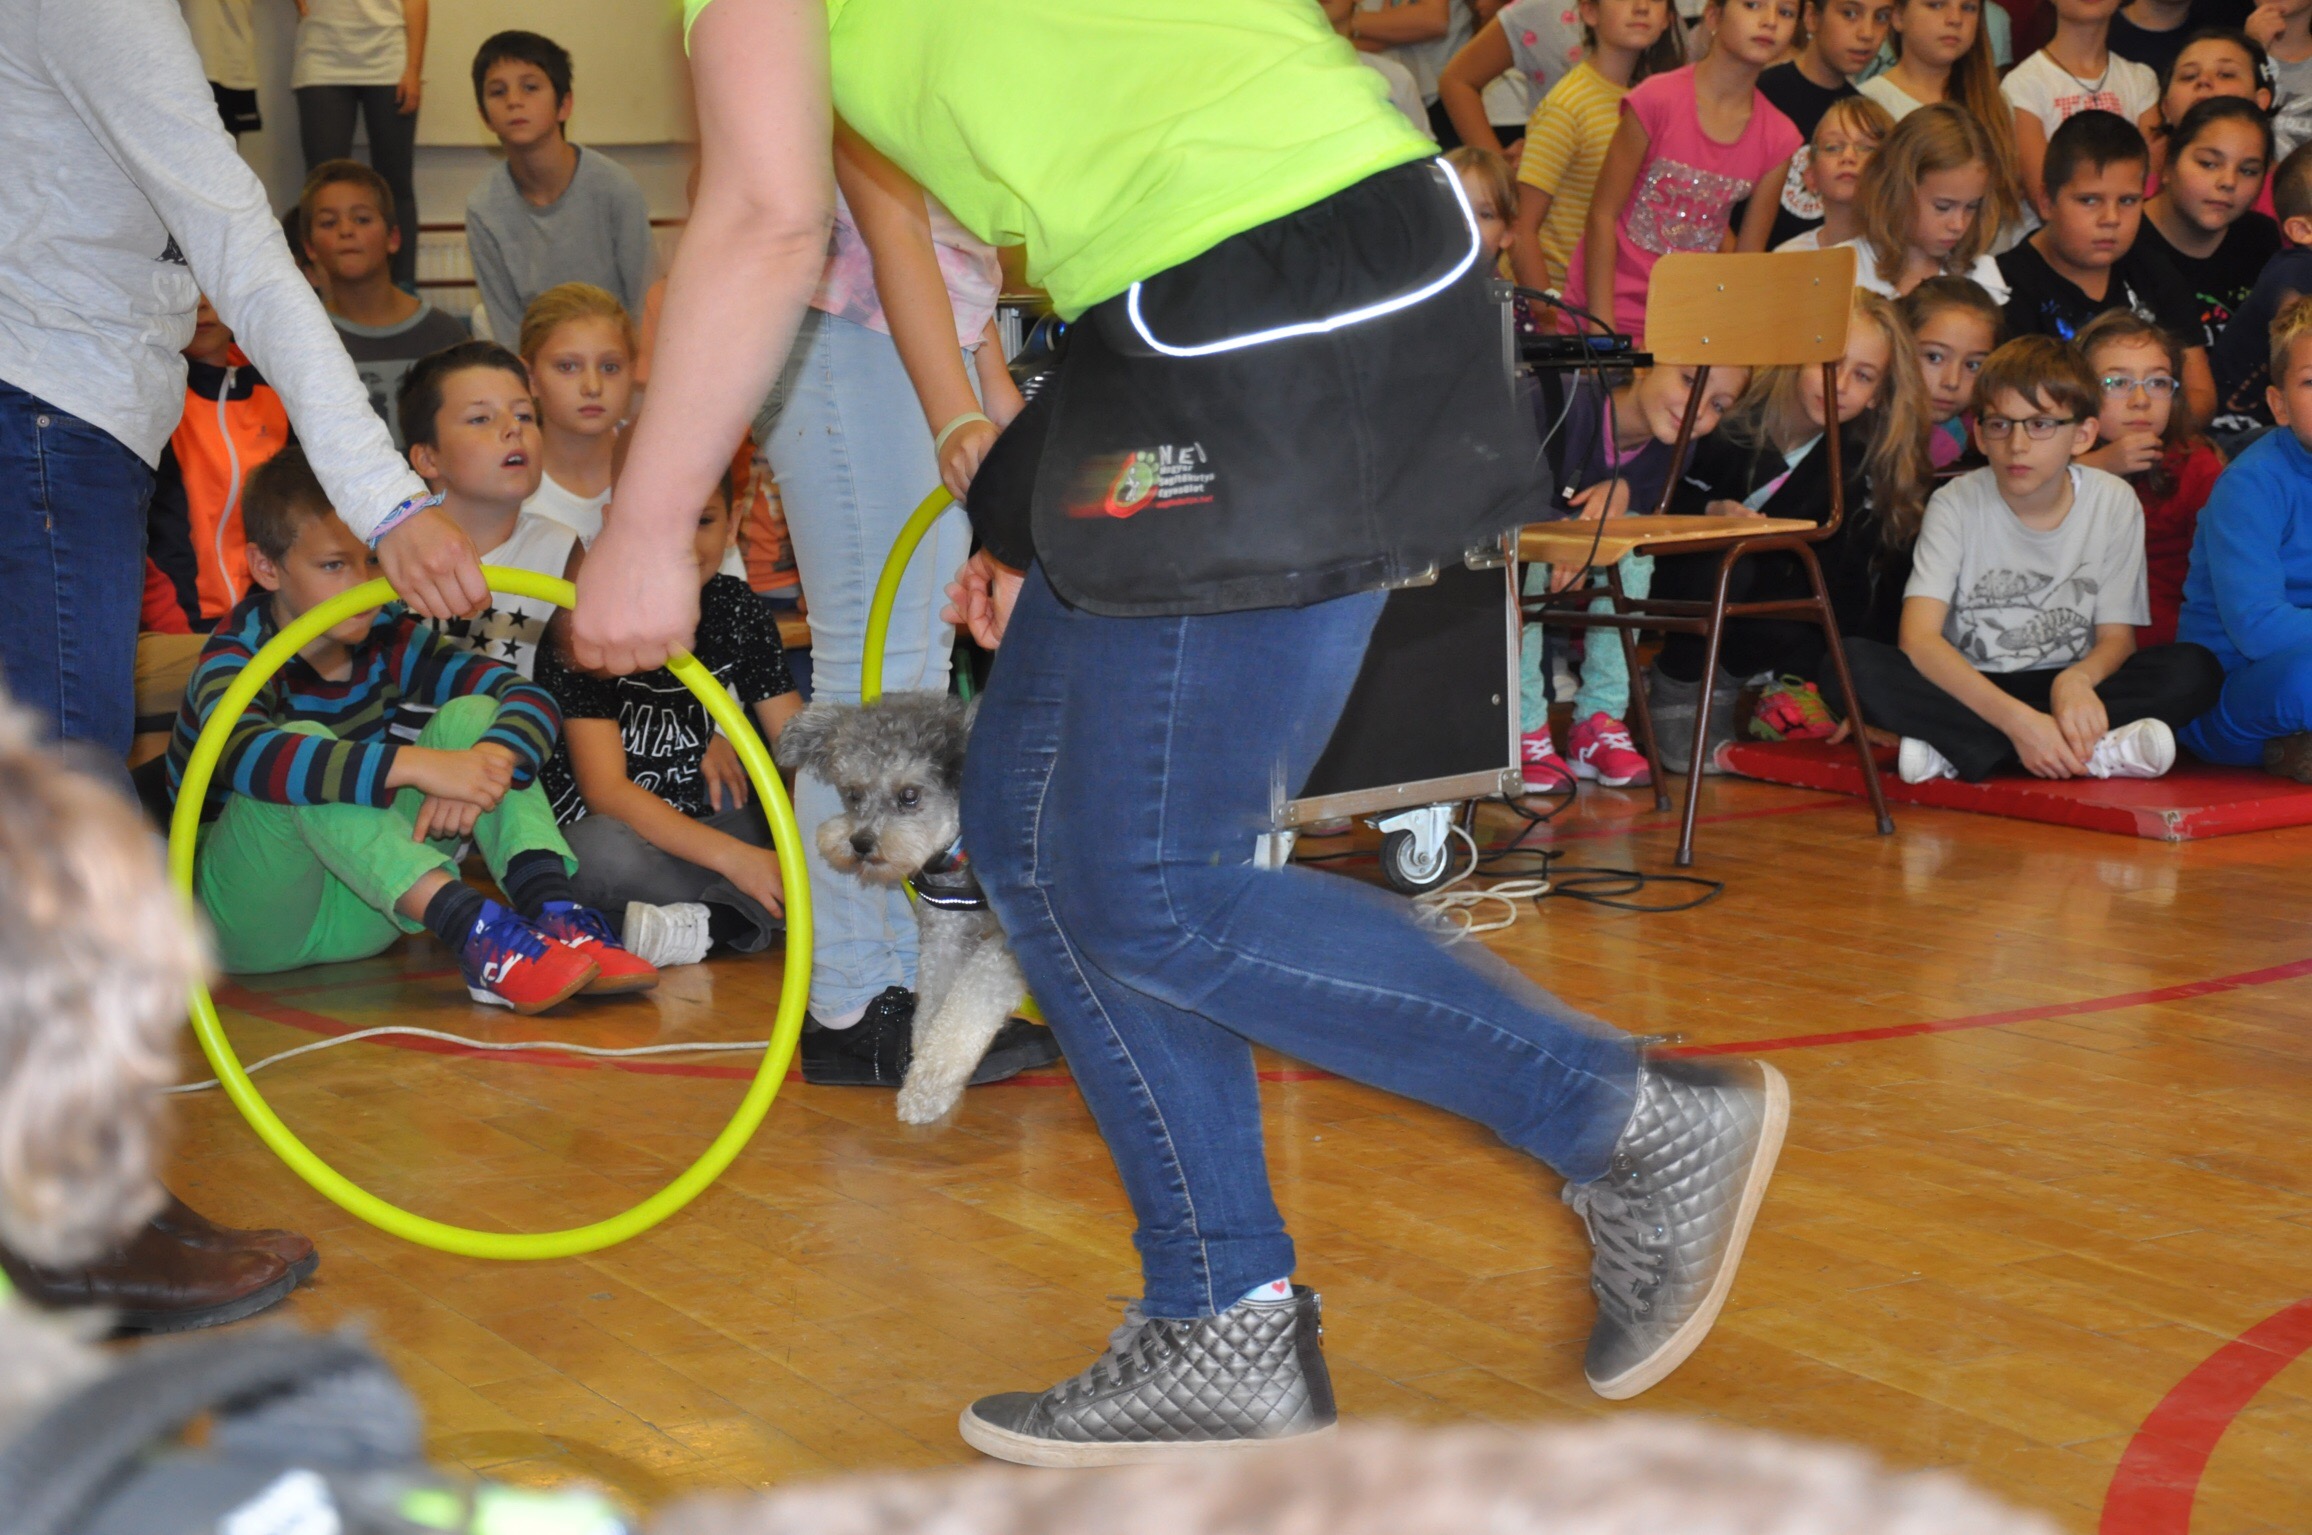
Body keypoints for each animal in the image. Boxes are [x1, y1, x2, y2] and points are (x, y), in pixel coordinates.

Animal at [775, 692, 1031, 1124]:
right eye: (853, 793)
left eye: (909, 795)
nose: (860, 843)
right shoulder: (945, 936)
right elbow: (934, 1011)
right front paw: (924, 1071)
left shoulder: (1010, 946)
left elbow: (965, 1006)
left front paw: (928, 1087)